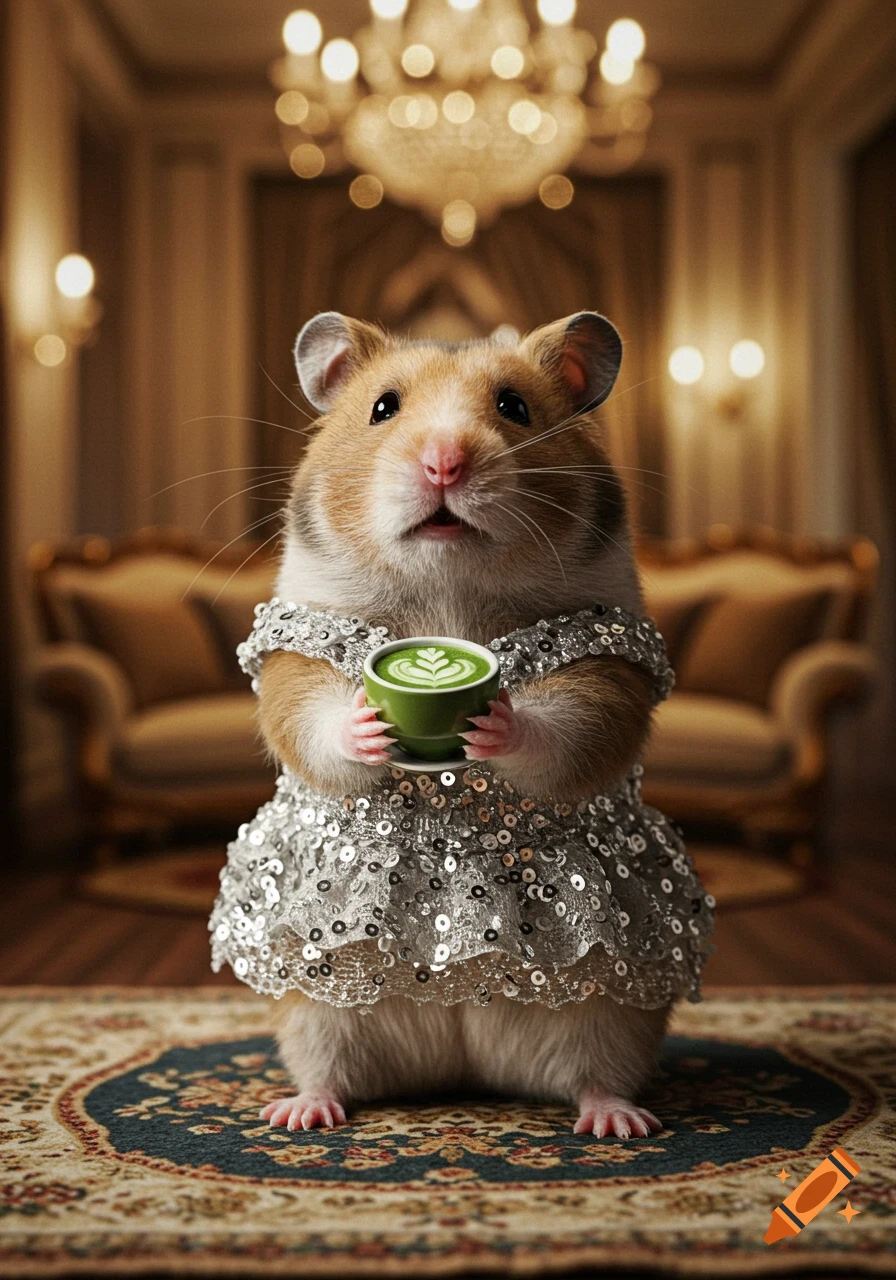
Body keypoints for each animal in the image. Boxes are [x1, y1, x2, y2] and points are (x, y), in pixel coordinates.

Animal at [256, 311, 666, 1140]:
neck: (447, 594)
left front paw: (496, 721)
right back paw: (301, 1115)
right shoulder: (295, 641)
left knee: (596, 1071)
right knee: (327, 1063)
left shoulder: (613, 655)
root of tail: (463, 1067)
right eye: (382, 408)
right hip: (313, 999)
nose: (444, 463)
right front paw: (368, 724)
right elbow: (307, 710)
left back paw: (617, 1124)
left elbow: (576, 723)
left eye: (514, 407)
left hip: (612, 1011)